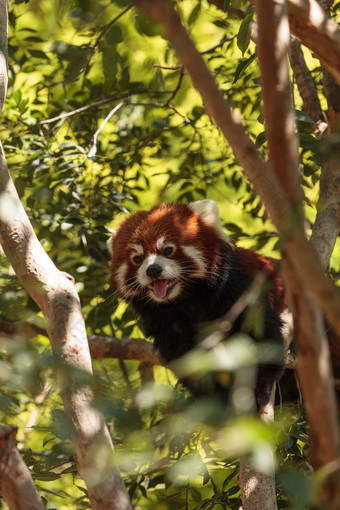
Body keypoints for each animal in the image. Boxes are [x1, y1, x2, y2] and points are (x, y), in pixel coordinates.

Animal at [108, 201, 284, 408]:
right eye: (137, 259)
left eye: (168, 250)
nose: (152, 270)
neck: (185, 300)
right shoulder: (164, 322)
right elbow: (186, 357)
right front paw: (211, 396)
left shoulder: (236, 290)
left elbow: (263, 333)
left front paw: (259, 386)